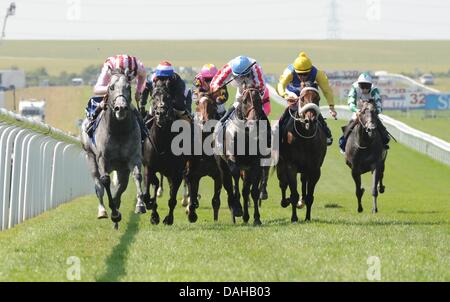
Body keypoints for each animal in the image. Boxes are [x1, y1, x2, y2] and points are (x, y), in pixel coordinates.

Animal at [80, 71, 144, 229]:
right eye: (111, 87)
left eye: (129, 87)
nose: (120, 108)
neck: (118, 131)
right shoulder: (102, 158)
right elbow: (105, 181)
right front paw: (113, 213)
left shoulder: (133, 157)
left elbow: (137, 176)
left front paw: (140, 205)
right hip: (91, 157)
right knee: (98, 184)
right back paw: (103, 210)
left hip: (121, 169)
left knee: (121, 186)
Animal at [141, 79, 186, 225]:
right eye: (154, 97)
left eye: (168, 97)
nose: (160, 113)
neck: (161, 142)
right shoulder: (148, 167)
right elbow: (146, 194)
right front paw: (152, 210)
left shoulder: (177, 172)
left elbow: (172, 199)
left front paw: (169, 219)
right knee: (155, 184)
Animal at [276, 85, 326, 222]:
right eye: (302, 98)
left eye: (317, 98)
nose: (310, 120)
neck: (305, 139)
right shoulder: (290, 166)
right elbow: (293, 193)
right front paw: (294, 218)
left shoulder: (315, 169)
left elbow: (309, 196)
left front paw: (308, 217)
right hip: (281, 166)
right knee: (283, 184)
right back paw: (285, 201)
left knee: (303, 182)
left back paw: (301, 202)